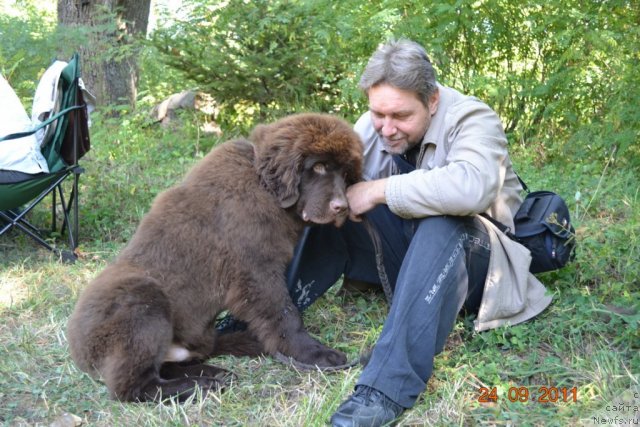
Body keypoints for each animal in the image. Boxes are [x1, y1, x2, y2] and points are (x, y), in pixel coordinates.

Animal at [68, 113, 364, 402]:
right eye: (319, 167)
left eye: (345, 173)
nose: (342, 207)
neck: (265, 187)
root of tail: (80, 354)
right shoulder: (257, 271)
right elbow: (285, 314)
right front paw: (316, 354)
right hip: (141, 298)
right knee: (134, 386)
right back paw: (202, 385)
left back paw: (223, 364)